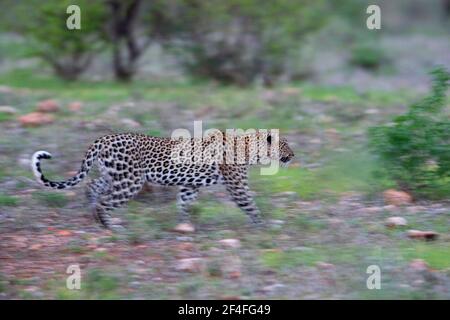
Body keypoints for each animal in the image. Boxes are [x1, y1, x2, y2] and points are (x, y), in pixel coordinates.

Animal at [29, 129, 294, 231]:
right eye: (284, 144)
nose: (293, 155)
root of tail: (103, 139)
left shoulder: (190, 185)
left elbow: (185, 203)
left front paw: (184, 225)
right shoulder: (237, 185)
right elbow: (250, 204)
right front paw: (264, 226)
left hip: (112, 175)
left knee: (92, 186)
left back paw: (91, 214)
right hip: (130, 180)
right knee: (106, 201)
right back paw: (110, 226)